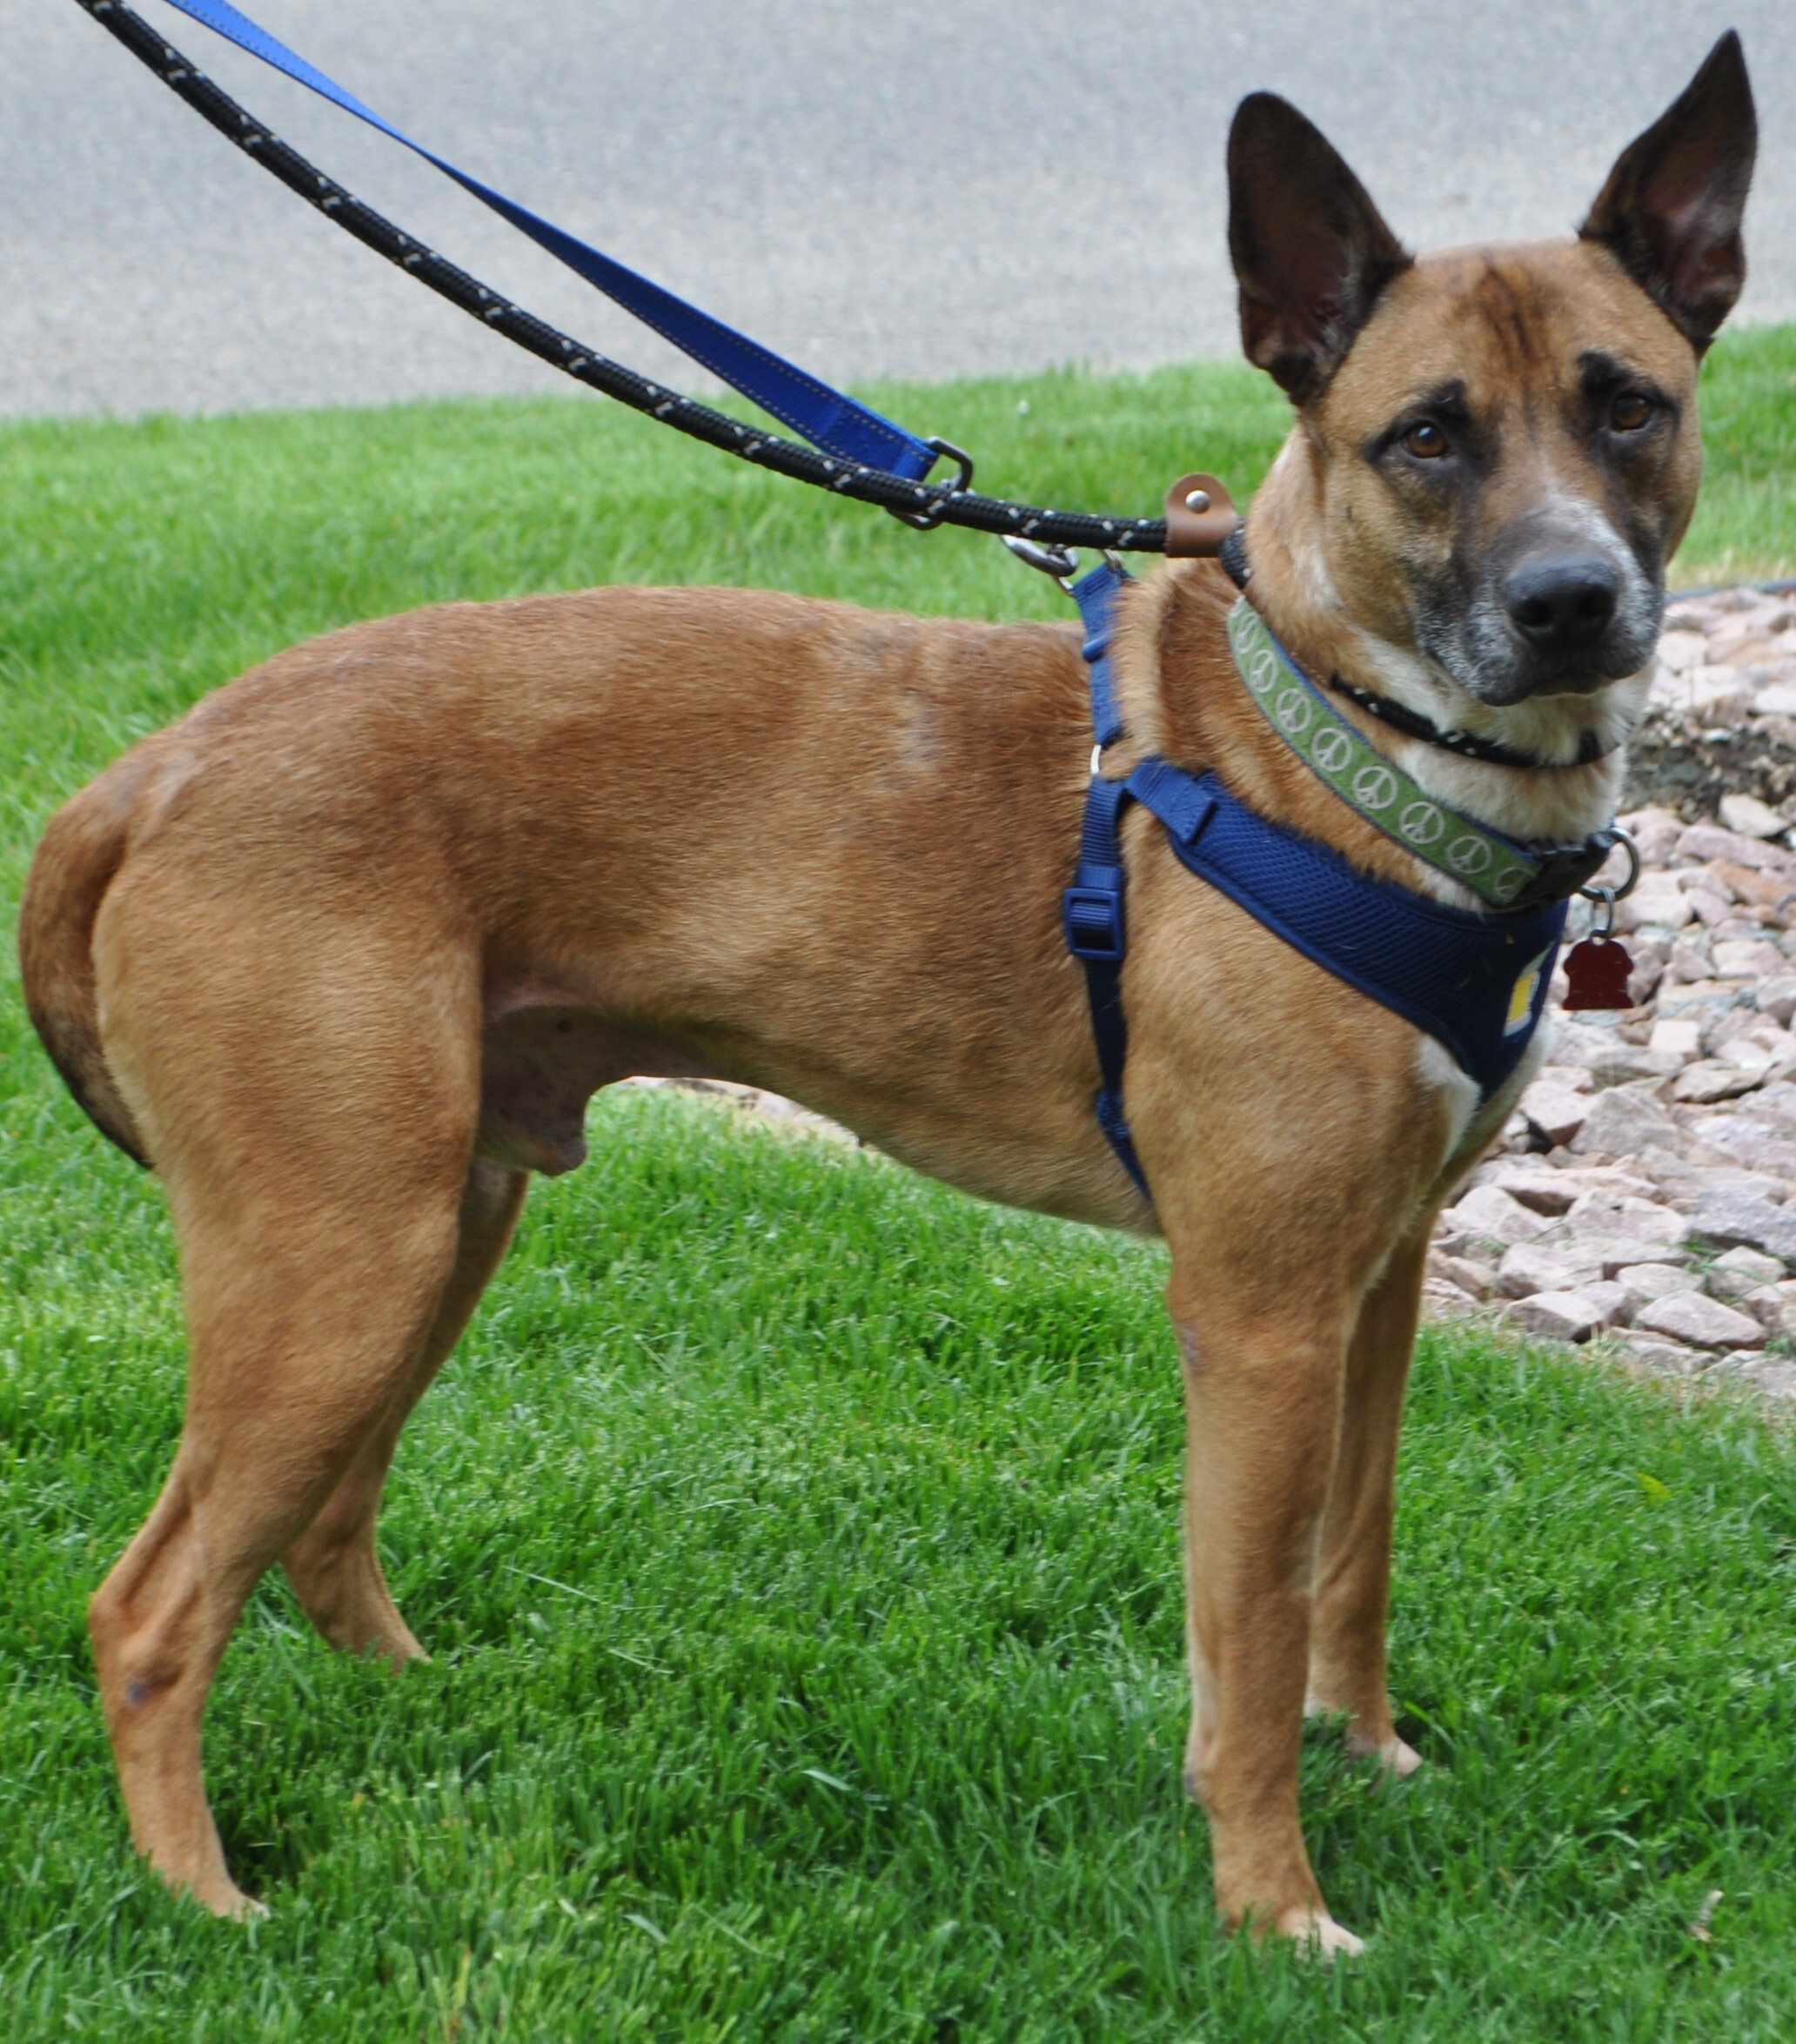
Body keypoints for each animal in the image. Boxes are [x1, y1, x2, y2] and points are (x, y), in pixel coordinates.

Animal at [14, 36, 1757, 1946]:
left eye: (1625, 403)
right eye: (1425, 434)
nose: (1569, 599)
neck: (1340, 743)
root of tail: (154, 768)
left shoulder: (1375, 1284)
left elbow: (1349, 1569)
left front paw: (1369, 1758)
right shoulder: (1261, 1317)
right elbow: (1246, 1640)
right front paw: (1271, 1909)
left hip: (434, 1219)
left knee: (322, 1532)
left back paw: (421, 1706)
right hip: (341, 1257)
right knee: (153, 1607)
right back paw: (203, 1898)